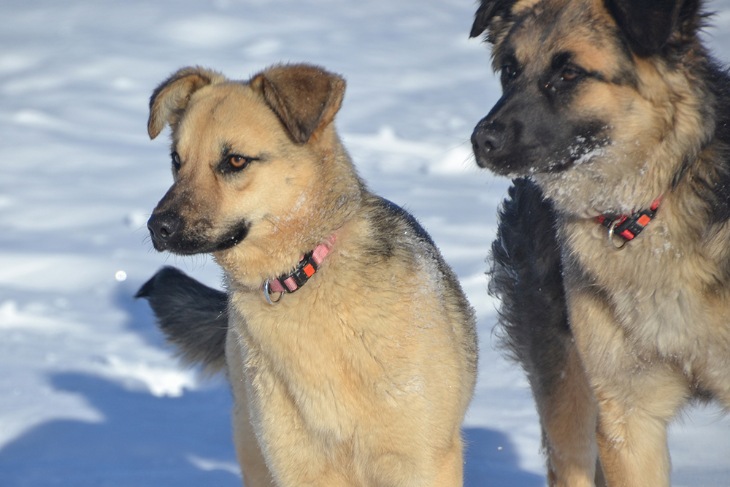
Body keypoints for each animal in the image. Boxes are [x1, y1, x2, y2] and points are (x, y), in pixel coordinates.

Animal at [135, 63, 478, 486]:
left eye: (235, 161)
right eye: (176, 160)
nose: (157, 227)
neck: (303, 272)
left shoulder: (422, 461)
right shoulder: (298, 465)